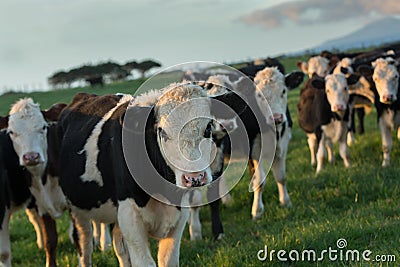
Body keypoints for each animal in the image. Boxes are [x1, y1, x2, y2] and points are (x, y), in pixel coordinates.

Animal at [56, 84, 241, 267]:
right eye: (162, 132)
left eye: (208, 127)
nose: (194, 177)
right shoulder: (130, 216)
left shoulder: (179, 215)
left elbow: (168, 260)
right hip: (77, 210)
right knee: (84, 245)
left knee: (120, 248)